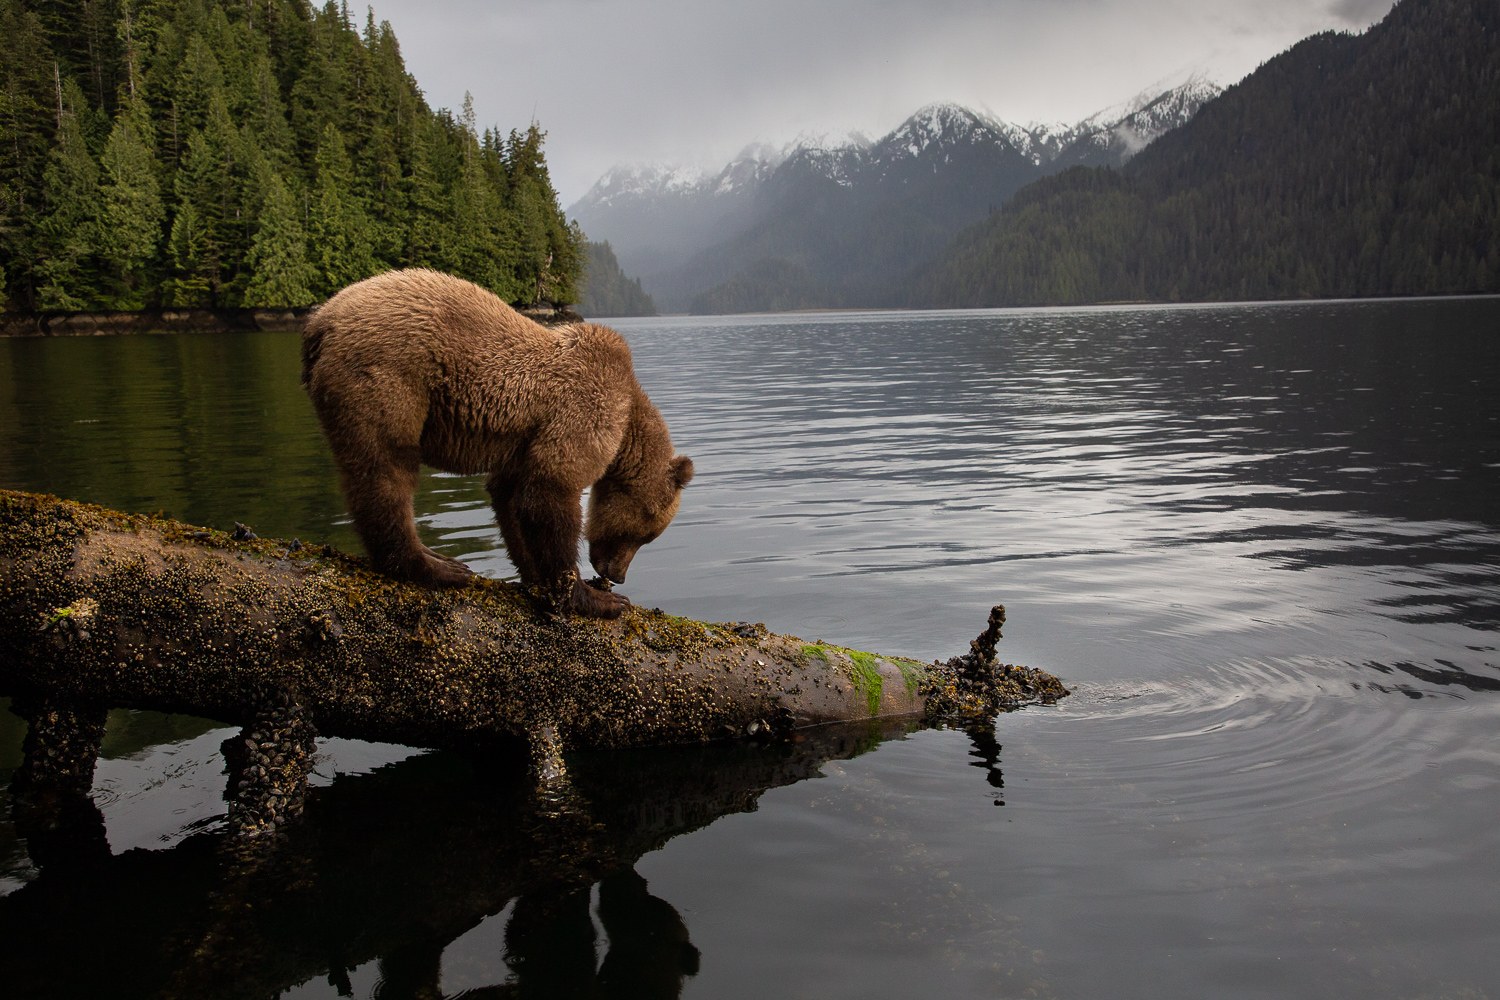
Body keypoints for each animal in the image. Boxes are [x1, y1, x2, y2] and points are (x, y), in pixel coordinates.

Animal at [300, 268, 692, 619]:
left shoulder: (526, 440)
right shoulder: (582, 407)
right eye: (645, 533)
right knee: (388, 470)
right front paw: (595, 598)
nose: (617, 576)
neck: (627, 422)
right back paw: (435, 566)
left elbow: (512, 498)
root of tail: (320, 321)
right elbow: (551, 490)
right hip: (386, 375)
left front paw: (535, 577)